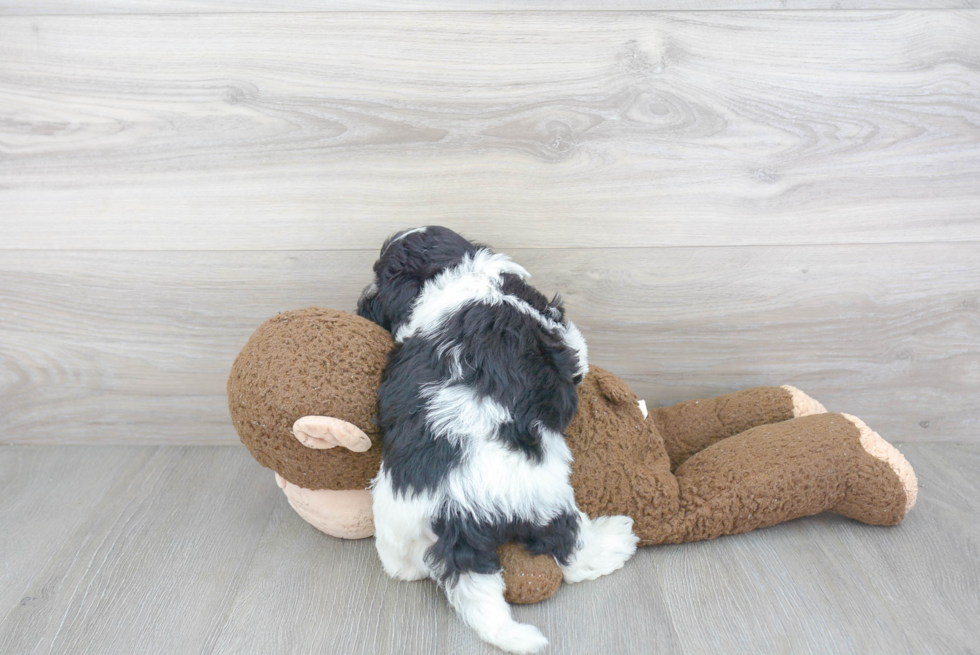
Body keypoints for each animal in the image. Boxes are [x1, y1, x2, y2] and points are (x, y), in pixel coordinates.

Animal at [356, 228, 640, 652]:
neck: (454, 276)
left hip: (397, 520)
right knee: (568, 547)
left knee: (402, 564)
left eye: (379, 277)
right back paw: (614, 541)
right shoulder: (562, 334)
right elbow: (578, 352)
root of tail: (453, 516)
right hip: (544, 498)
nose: (363, 300)